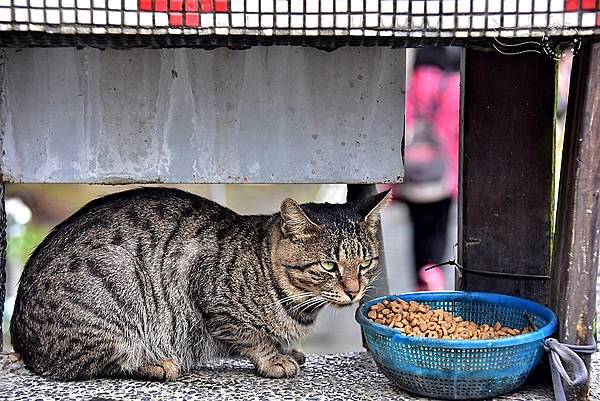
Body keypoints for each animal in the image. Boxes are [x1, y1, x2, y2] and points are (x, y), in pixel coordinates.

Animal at [11, 186, 392, 380]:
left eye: (366, 263)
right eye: (328, 265)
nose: (354, 291)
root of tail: (24, 346)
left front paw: (286, 350)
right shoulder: (211, 299)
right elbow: (252, 336)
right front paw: (274, 358)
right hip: (117, 293)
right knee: (92, 366)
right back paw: (157, 364)